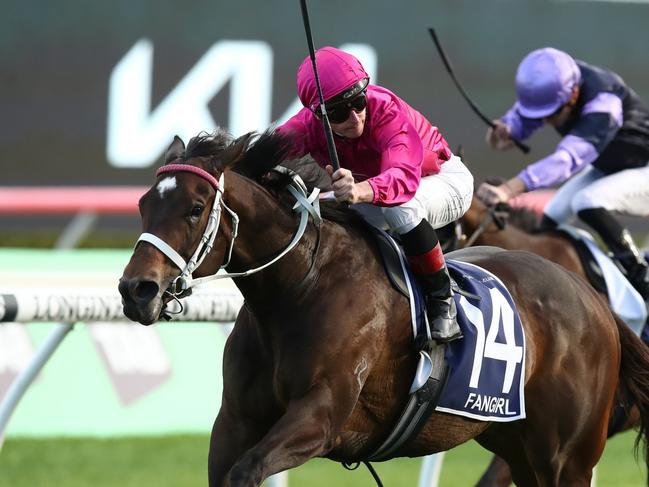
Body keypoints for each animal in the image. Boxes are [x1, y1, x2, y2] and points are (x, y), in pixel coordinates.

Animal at [119, 131, 648, 487]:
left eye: (194, 207)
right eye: (143, 204)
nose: (136, 290)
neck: (299, 286)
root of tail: (592, 300)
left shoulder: (321, 414)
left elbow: (247, 471)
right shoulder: (235, 422)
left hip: (568, 455)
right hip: (516, 444)